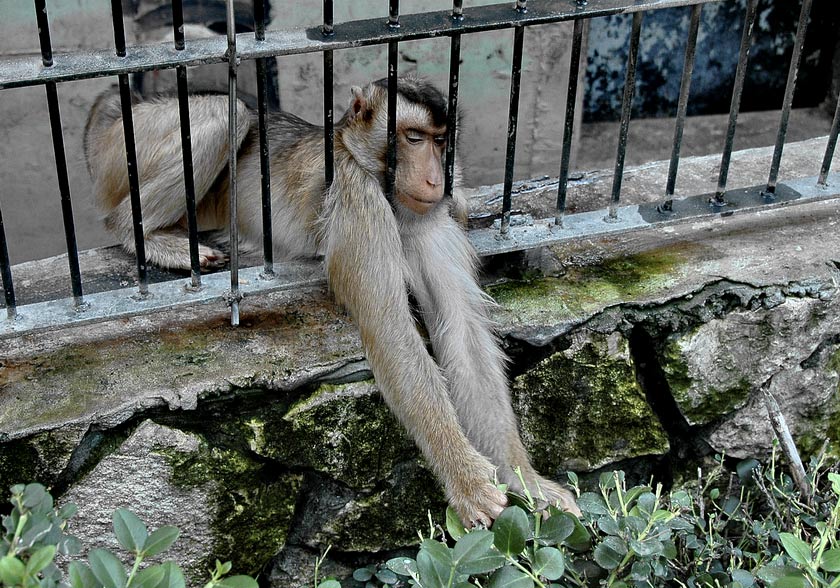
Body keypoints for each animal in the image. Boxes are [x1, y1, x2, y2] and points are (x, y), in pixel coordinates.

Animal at [87, 77, 584, 524]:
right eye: (414, 138)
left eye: (441, 142)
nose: (434, 178)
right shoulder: (355, 198)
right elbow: (390, 330)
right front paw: (467, 480)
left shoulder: (436, 217)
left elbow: (461, 333)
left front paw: (524, 479)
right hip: (128, 144)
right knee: (224, 113)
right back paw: (147, 236)